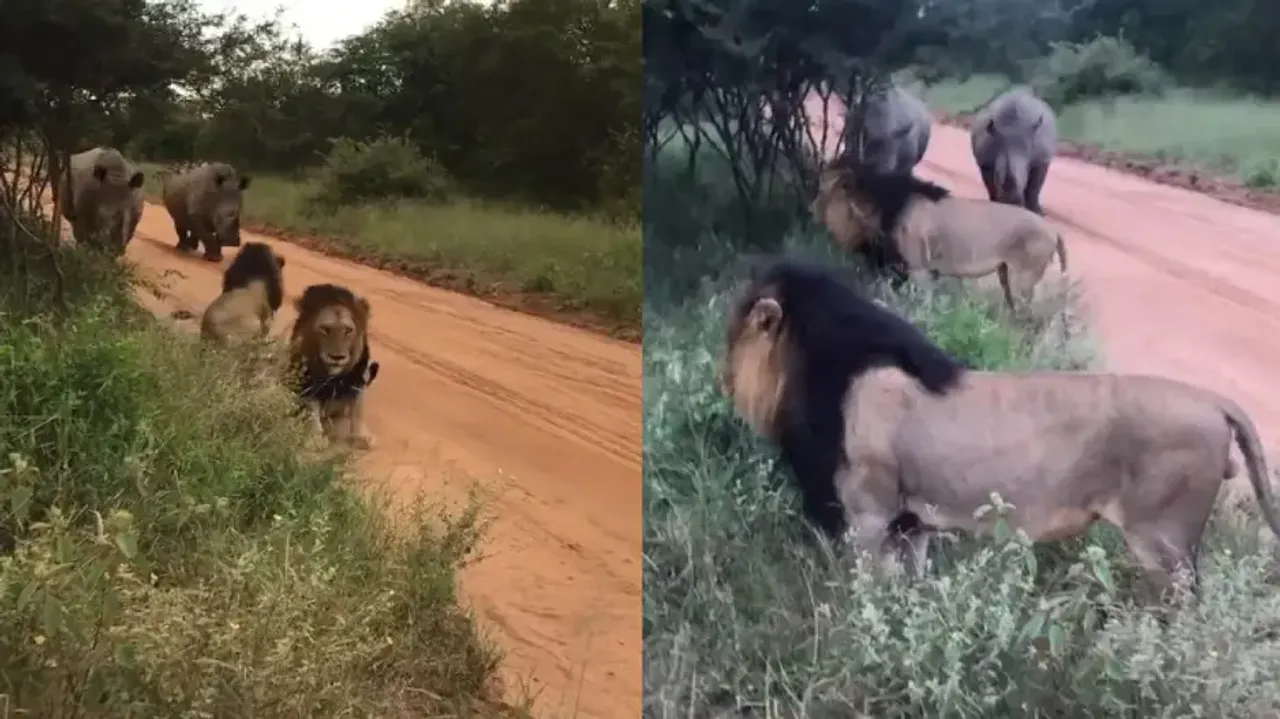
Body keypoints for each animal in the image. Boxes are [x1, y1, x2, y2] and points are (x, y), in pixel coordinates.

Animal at [287, 283, 380, 451]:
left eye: (348, 331)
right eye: (325, 329)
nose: (337, 357)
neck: (333, 378)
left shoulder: (357, 381)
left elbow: (357, 411)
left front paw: (361, 436)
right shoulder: (308, 384)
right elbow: (312, 409)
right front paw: (315, 438)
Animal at [719, 257, 1280, 606]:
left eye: (736, 332)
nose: (722, 377)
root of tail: (1213, 400)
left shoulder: (869, 516)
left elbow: (868, 591)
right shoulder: (911, 524)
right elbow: (909, 589)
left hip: (1163, 541)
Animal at [809, 155, 1068, 313]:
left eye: (823, 188)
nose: (811, 209)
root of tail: (1054, 231)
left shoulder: (918, 270)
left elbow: (918, 306)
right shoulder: (927, 272)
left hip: (1022, 279)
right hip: (1006, 275)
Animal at [970, 86, 1057, 215]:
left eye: (1023, 177)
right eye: (997, 175)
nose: (1011, 202)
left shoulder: (1041, 159)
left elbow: (1034, 188)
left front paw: (1036, 212)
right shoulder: (985, 160)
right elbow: (990, 185)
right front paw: (996, 204)